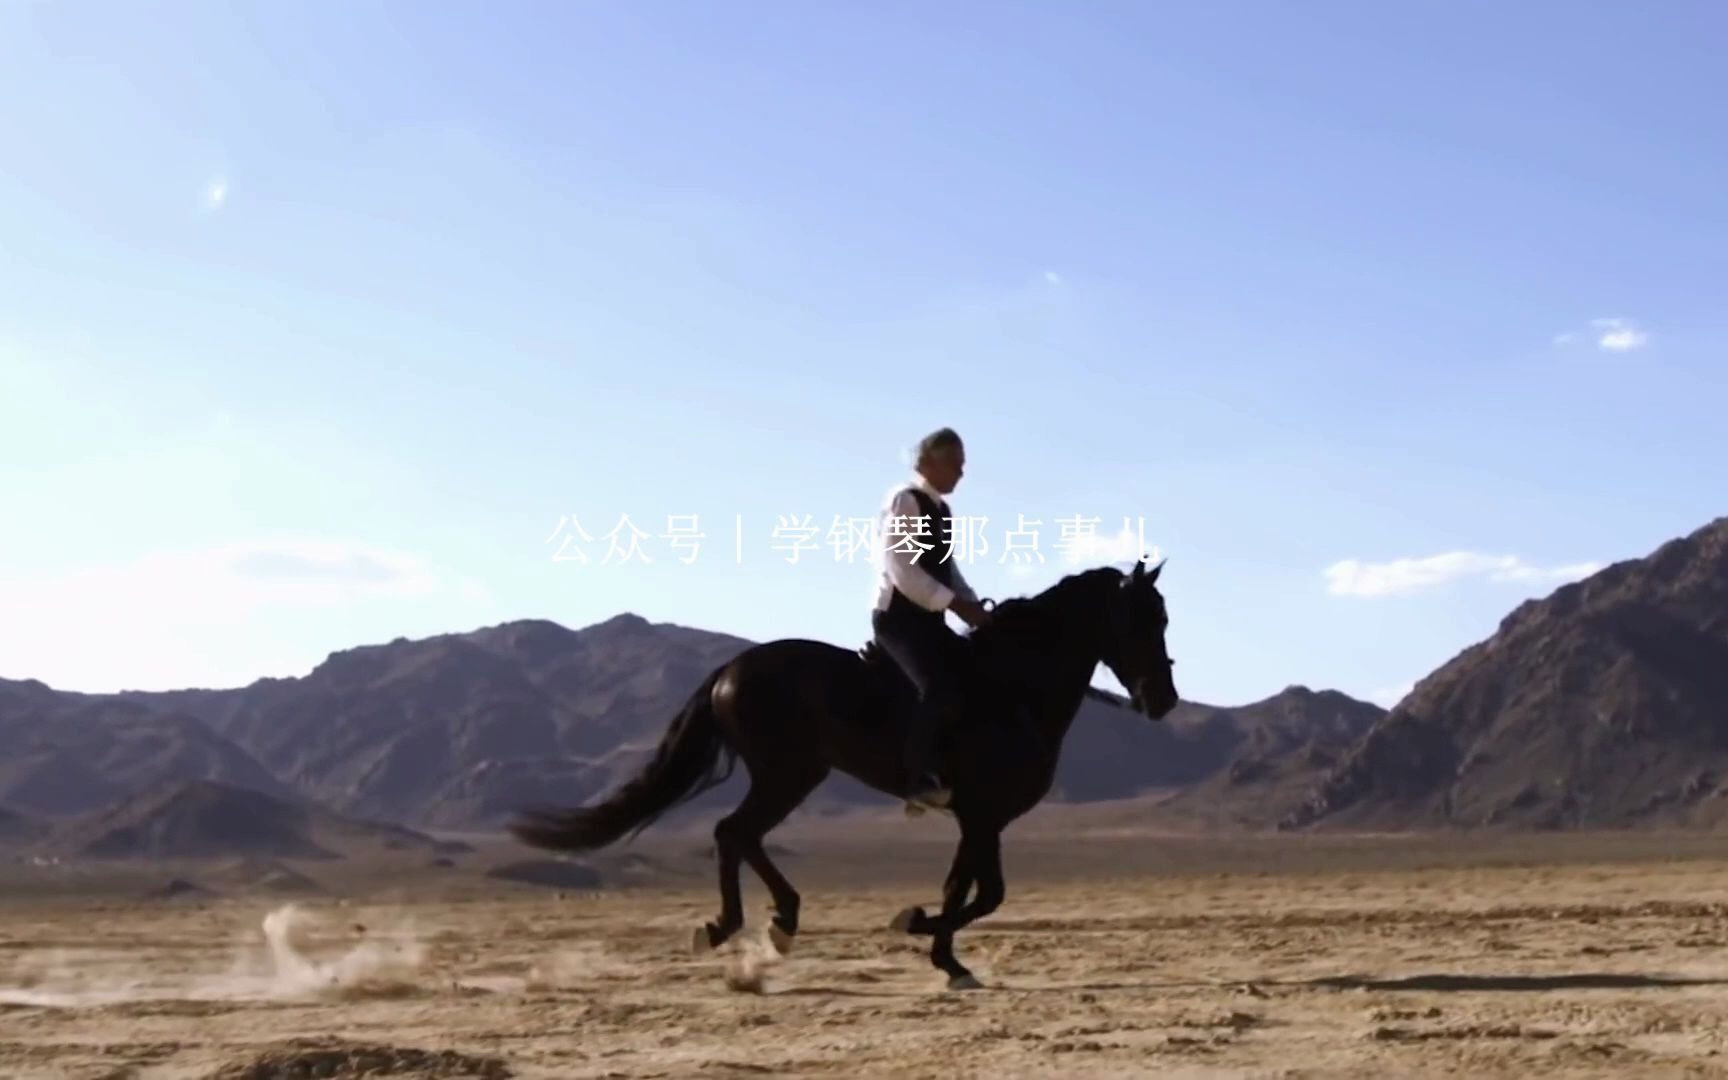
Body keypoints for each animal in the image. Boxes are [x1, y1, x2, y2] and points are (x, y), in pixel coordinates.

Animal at [504, 556, 1175, 988]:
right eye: (1144, 619)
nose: (1163, 700)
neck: (1012, 688)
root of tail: (731, 669)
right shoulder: (984, 815)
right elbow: (986, 894)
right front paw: (923, 934)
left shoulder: (976, 818)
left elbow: (961, 890)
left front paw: (943, 955)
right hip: (788, 772)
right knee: (733, 832)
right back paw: (749, 926)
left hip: (795, 773)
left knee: (738, 835)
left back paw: (764, 924)